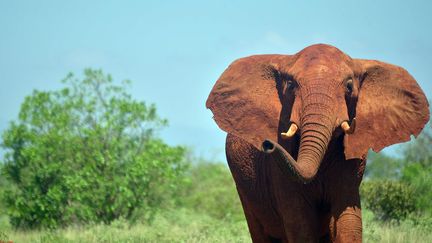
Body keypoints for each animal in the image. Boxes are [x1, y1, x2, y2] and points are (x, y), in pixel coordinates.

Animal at [205, 44, 428, 243]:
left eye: (349, 86)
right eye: (290, 86)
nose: (268, 144)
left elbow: (348, 223)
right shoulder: (278, 171)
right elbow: (300, 225)